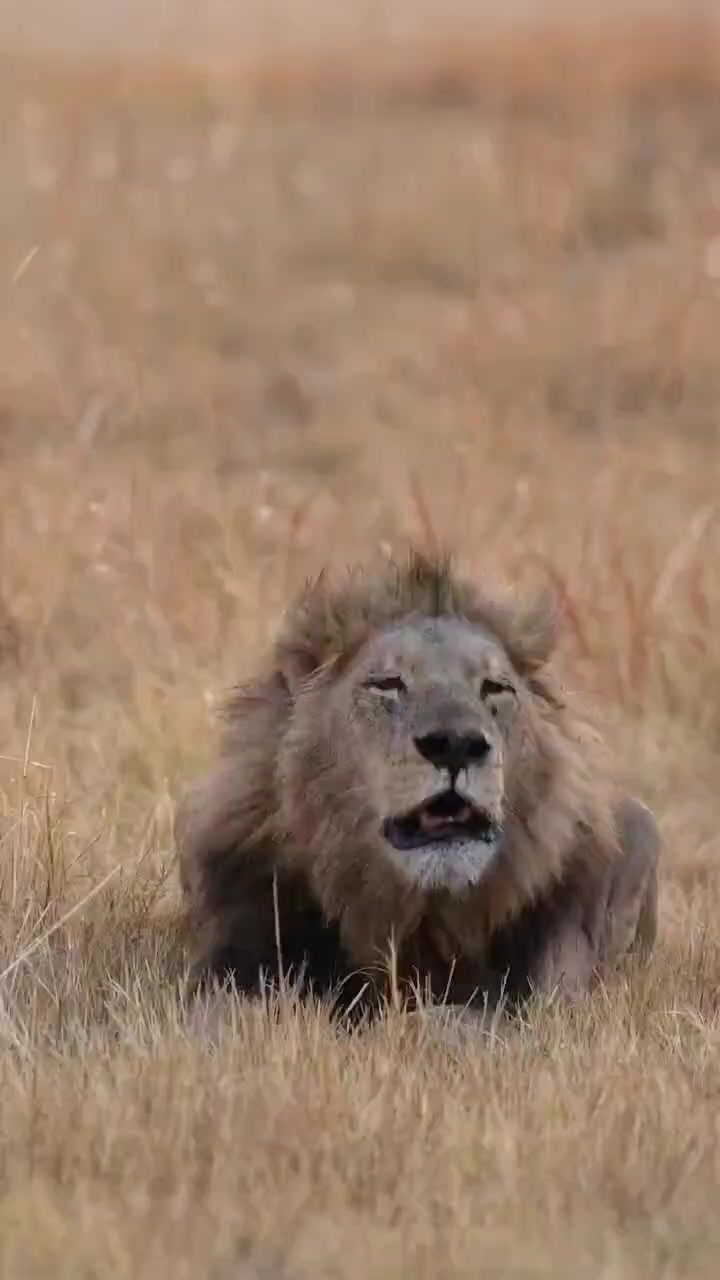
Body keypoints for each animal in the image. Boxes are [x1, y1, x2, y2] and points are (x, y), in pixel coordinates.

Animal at [175, 552, 660, 1023]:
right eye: (388, 684)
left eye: (494, 688)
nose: (456, 743)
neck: (421, 917)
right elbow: (234, 1010)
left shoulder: (558, 993)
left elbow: (464, 1019)